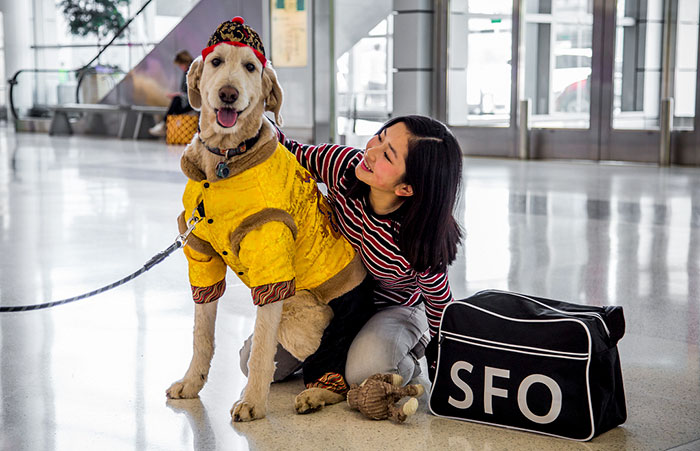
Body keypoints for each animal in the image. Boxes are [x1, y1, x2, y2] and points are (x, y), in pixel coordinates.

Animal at [166, 15, 370, 422]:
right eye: (216, 62)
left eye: (250, 67)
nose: (228, 94)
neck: (223, 166)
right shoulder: (202, 255)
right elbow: (201, 335)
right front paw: (192, 383)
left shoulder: (272, 268)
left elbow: (261, 349)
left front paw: (253, 403)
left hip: (303, 313)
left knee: (339, 369)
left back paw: (319, 394)